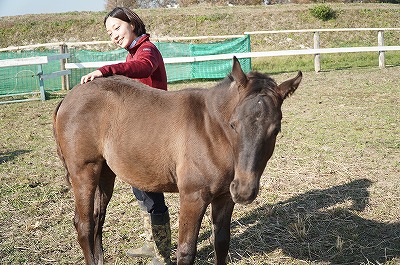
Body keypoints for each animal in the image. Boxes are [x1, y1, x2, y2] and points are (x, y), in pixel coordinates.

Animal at [54, 56, 304, 262]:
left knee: (98, 217)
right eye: (233, 124)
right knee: (84, 224)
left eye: (276, 130)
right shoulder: (193, 197)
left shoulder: (225, 197)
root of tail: (69, 98)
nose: (244, 190)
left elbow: (222, 243)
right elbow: (186, 250)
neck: (210, 129)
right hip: (83, 172)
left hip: (105, 173)